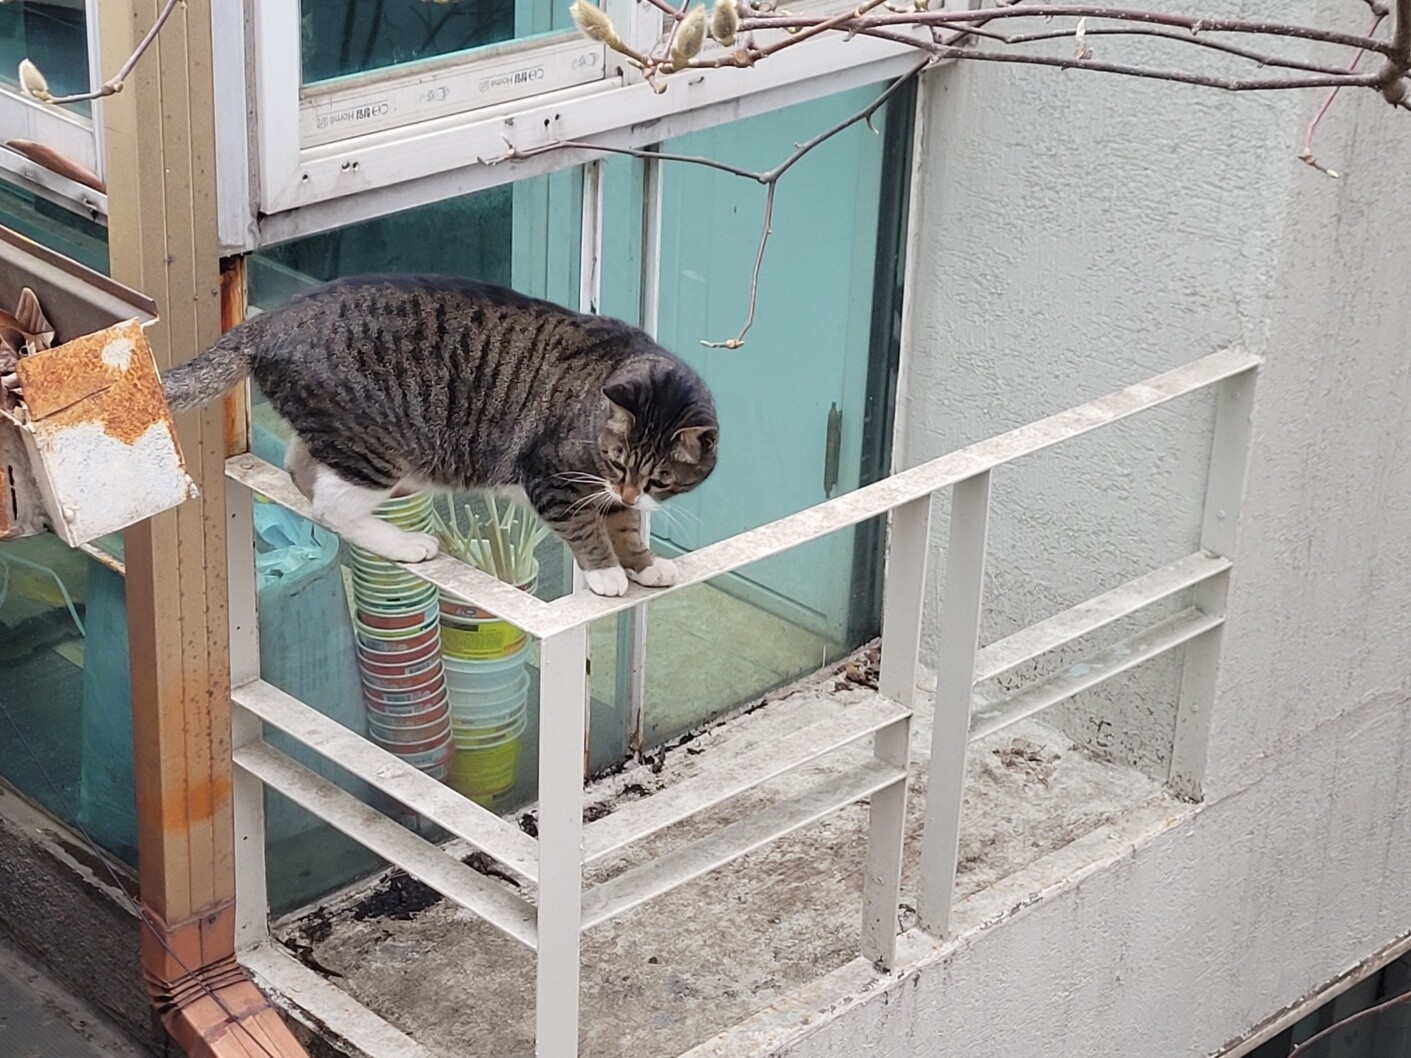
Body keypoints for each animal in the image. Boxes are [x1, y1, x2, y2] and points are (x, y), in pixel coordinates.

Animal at [162, 274, 718, 597]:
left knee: (303, 466)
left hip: (343, 437)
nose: (630, 489)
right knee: (332, 506)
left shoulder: (607, 491)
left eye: (660, 479)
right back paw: (405, 544)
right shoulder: (551, 476)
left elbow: (624, 525)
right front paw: (606, 573)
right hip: (377, 446)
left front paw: (644, 564)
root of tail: (272, 320)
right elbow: (587, 529)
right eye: (619, 461)